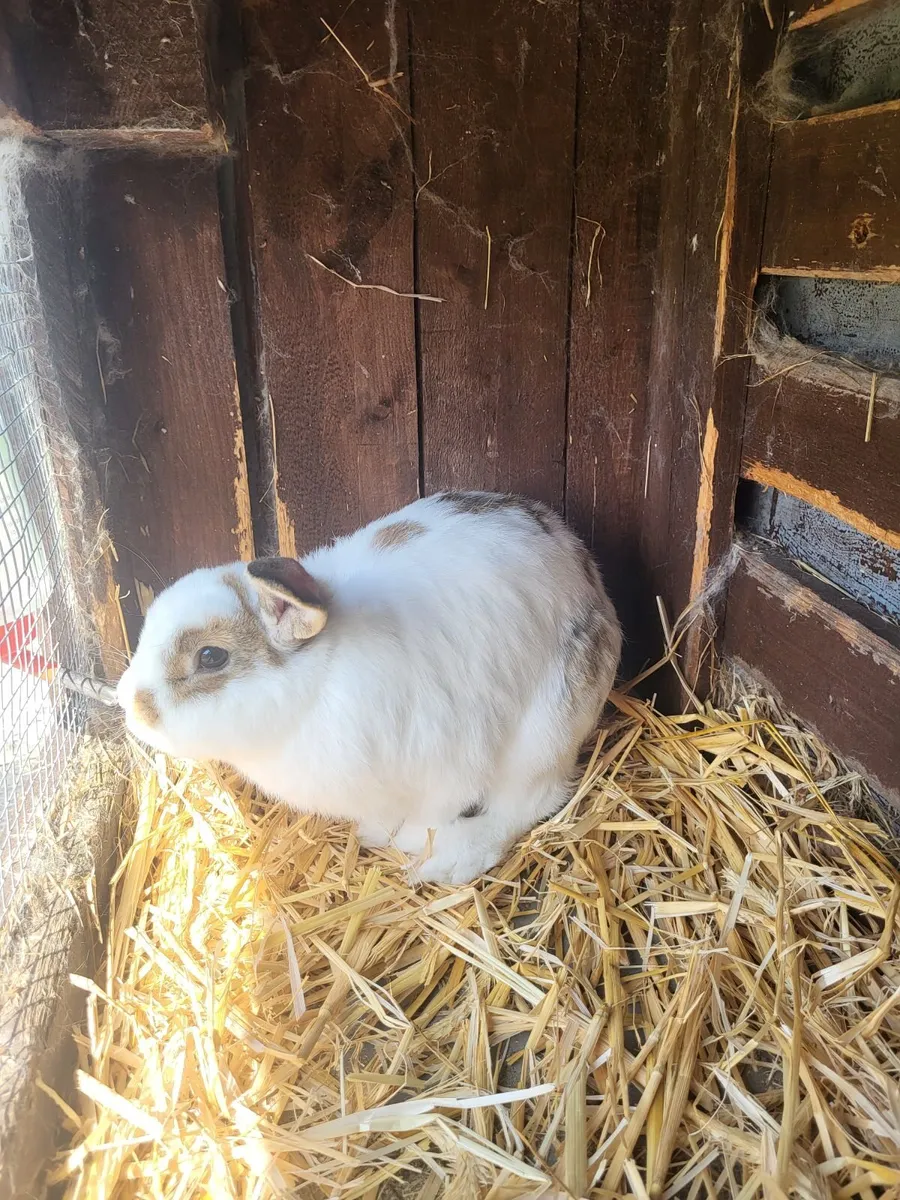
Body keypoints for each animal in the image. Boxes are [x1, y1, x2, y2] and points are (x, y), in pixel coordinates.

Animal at [117, 491, 621, 885]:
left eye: (211, 657)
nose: (130, 705)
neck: (319, 679)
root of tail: (591, 579)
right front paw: (376, 832)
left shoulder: (449, 769)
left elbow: (433, 816)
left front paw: (411, 841)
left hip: (545, 732)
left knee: (530, 801)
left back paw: (453, 859)